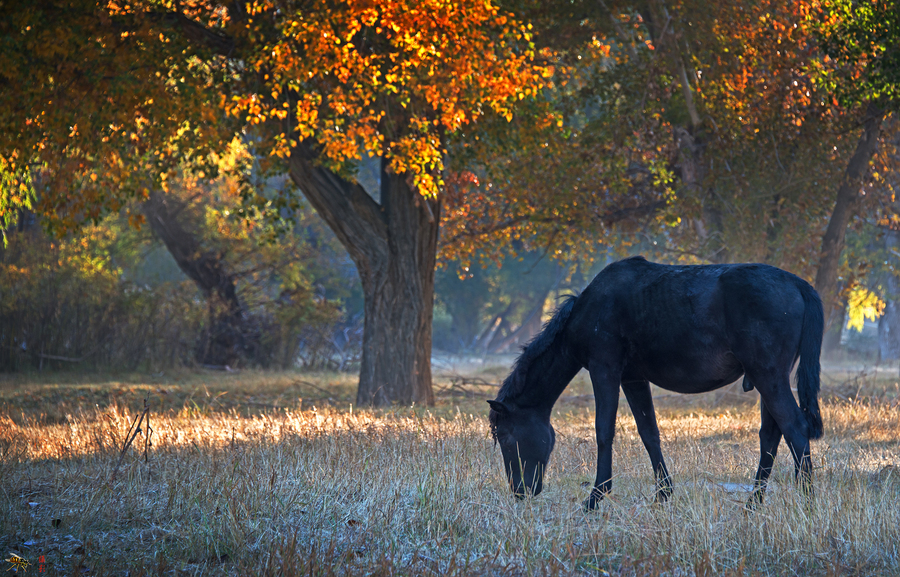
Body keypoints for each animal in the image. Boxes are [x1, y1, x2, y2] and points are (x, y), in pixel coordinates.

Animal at [492, 256, 824, 508]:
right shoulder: (633, 378)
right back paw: (753, 503)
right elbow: (649, 432)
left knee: (795, 428)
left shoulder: (604, 369)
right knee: (771, 435)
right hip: (768, 377)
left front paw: (596, 497)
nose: (520, 491)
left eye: (507, 438)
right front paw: (663, 493)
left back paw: (807, 501)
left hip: (768, 375)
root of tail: (798, 284)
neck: (590, 309)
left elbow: (604, 431)